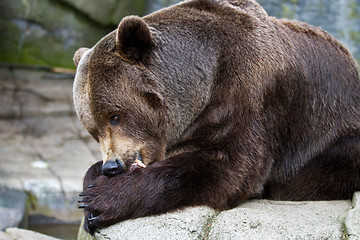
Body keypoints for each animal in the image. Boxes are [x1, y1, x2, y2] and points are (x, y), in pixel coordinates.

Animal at [74, 0, 360, 234]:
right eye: (93, 130)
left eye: (115, 116)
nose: (112, 166)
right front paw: (91, 187)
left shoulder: (247, 89)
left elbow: (226, 166)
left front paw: (101, 199)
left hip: (334, 129)